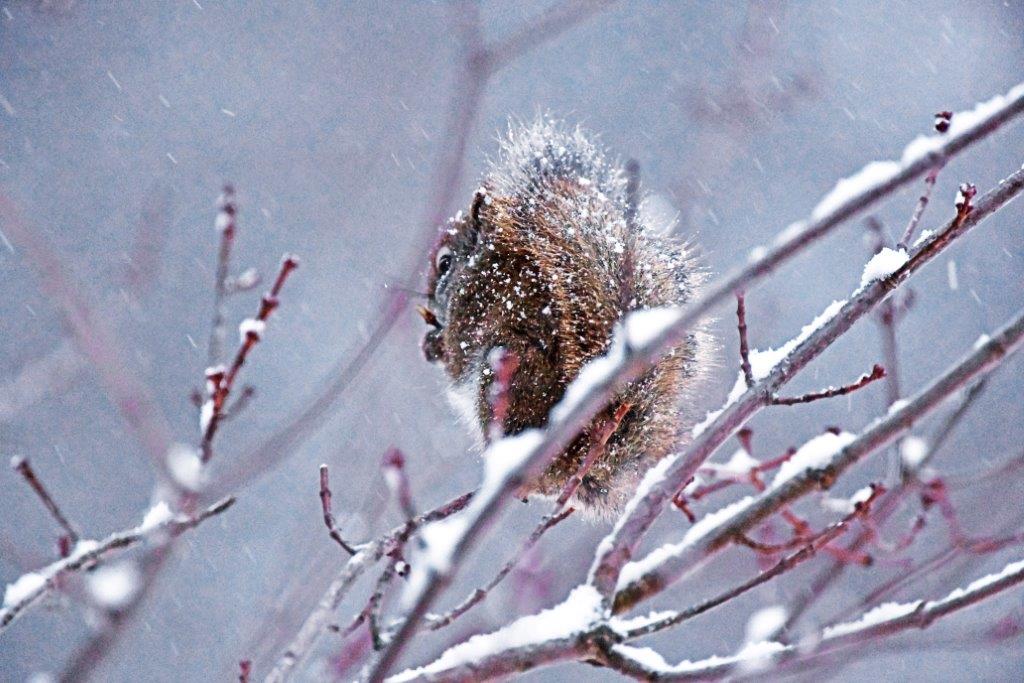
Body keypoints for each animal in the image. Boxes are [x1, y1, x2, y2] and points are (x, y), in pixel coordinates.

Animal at [420, 118, 711, 520]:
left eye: (445, 263)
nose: (429, 303)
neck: (484, 260)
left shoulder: (476, 303)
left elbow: (458, 356)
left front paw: (434, 345)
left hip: (506, 375)